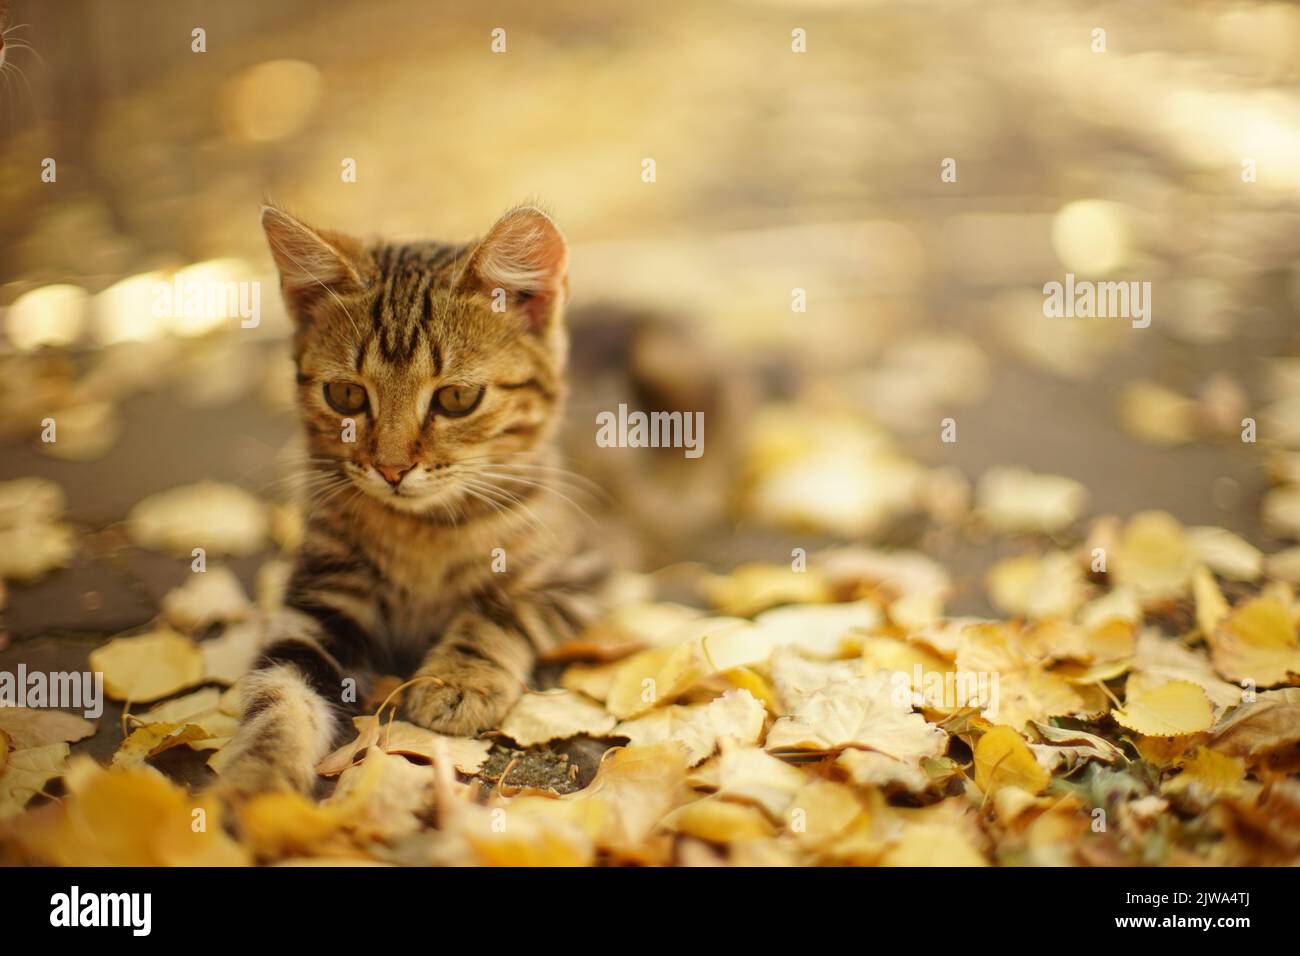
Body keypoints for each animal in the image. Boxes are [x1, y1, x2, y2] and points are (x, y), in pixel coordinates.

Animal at [220, 201, 605, 790]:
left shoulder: (580, 575)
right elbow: (279, 690)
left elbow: (501, 609)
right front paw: (259, 776)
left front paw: (457, 679)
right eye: (345, 394)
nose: (391, 468)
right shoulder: (321, 594)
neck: (422, 529)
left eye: (457, 398)